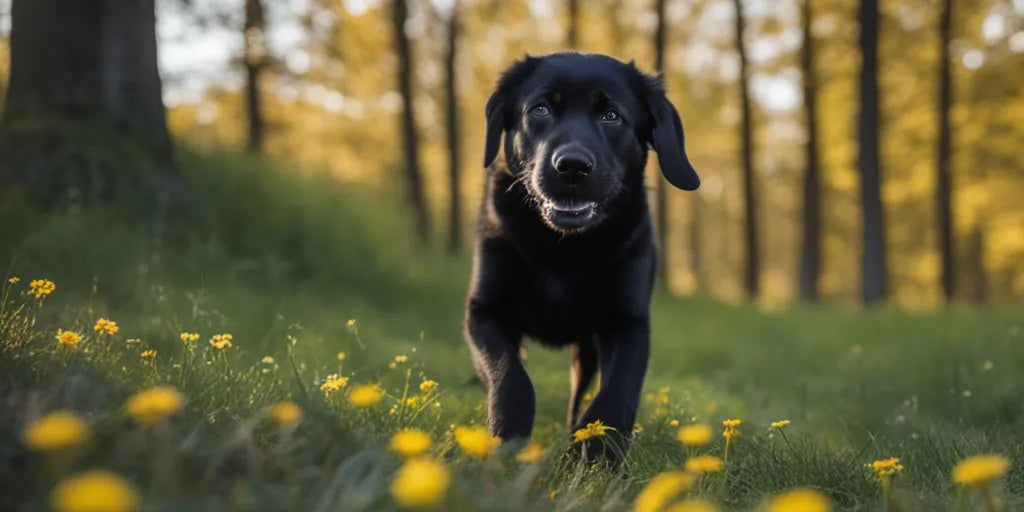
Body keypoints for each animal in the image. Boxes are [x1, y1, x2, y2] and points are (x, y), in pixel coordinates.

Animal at [466, 50, 700, 452]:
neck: (562, 248)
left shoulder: (626, 322)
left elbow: (617, 391)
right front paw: (507, 438)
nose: (572, 166)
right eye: (540, 109)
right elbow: (511, 376)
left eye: (611, 116)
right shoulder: (484, 312)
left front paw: (597, 452)